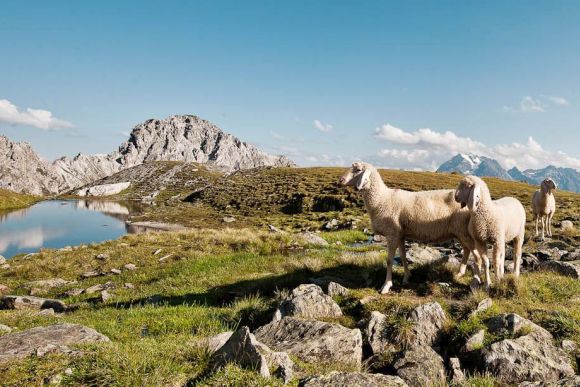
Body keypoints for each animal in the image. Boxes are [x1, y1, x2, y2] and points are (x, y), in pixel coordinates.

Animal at [340, 161, 476, 294]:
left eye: (358, 170)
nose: (341, 180)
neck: (381, 199)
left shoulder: (392, 234)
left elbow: (389, 260)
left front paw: (386, 286)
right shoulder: (400, 234)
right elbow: (403, 256)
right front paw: (406, 277)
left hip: (463, 230)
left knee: (472, 251)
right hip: (461, 232)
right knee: (467, 250)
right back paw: (460, 273)